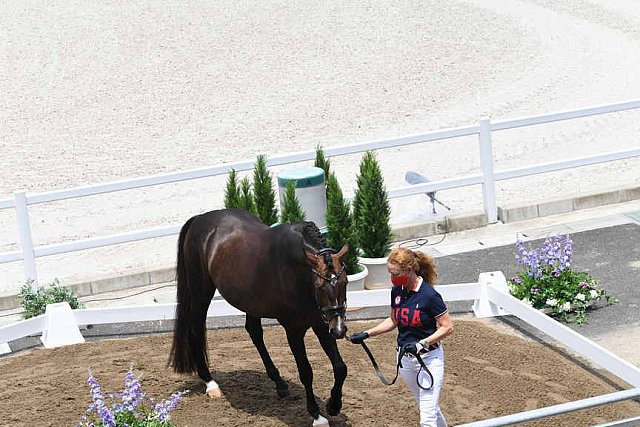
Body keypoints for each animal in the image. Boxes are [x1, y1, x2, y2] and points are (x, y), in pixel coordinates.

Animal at [168, 209, 350, 426]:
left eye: (345, 282)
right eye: (321, 286)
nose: (339, 330)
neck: (296, 271)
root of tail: (200, 218)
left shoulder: (321, 323)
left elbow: (340, 367)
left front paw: (334, 405)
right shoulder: (293, 330)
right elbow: (306, 372)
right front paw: (317, 416)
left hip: (250, 302)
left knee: (254, 332)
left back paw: (279, 384)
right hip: (200, 291)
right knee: (196, 329)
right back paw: (210, 383)